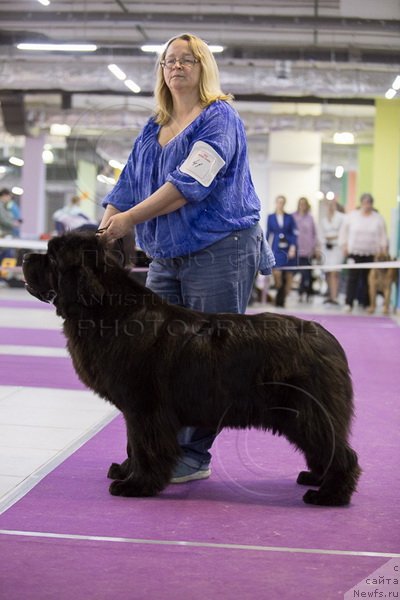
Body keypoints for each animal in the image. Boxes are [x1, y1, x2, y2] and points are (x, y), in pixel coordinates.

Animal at [21, 232, 360, 504]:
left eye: (52, 257)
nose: (24, 256)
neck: (106, 310)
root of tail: (329, 339)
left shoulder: (145, 408)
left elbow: (144, 446)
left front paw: (136, 485)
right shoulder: (135, 410)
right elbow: (133, 444)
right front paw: (126, 471)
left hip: (307, 412)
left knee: (341, 452)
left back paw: (330, 495)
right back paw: (317, 478)